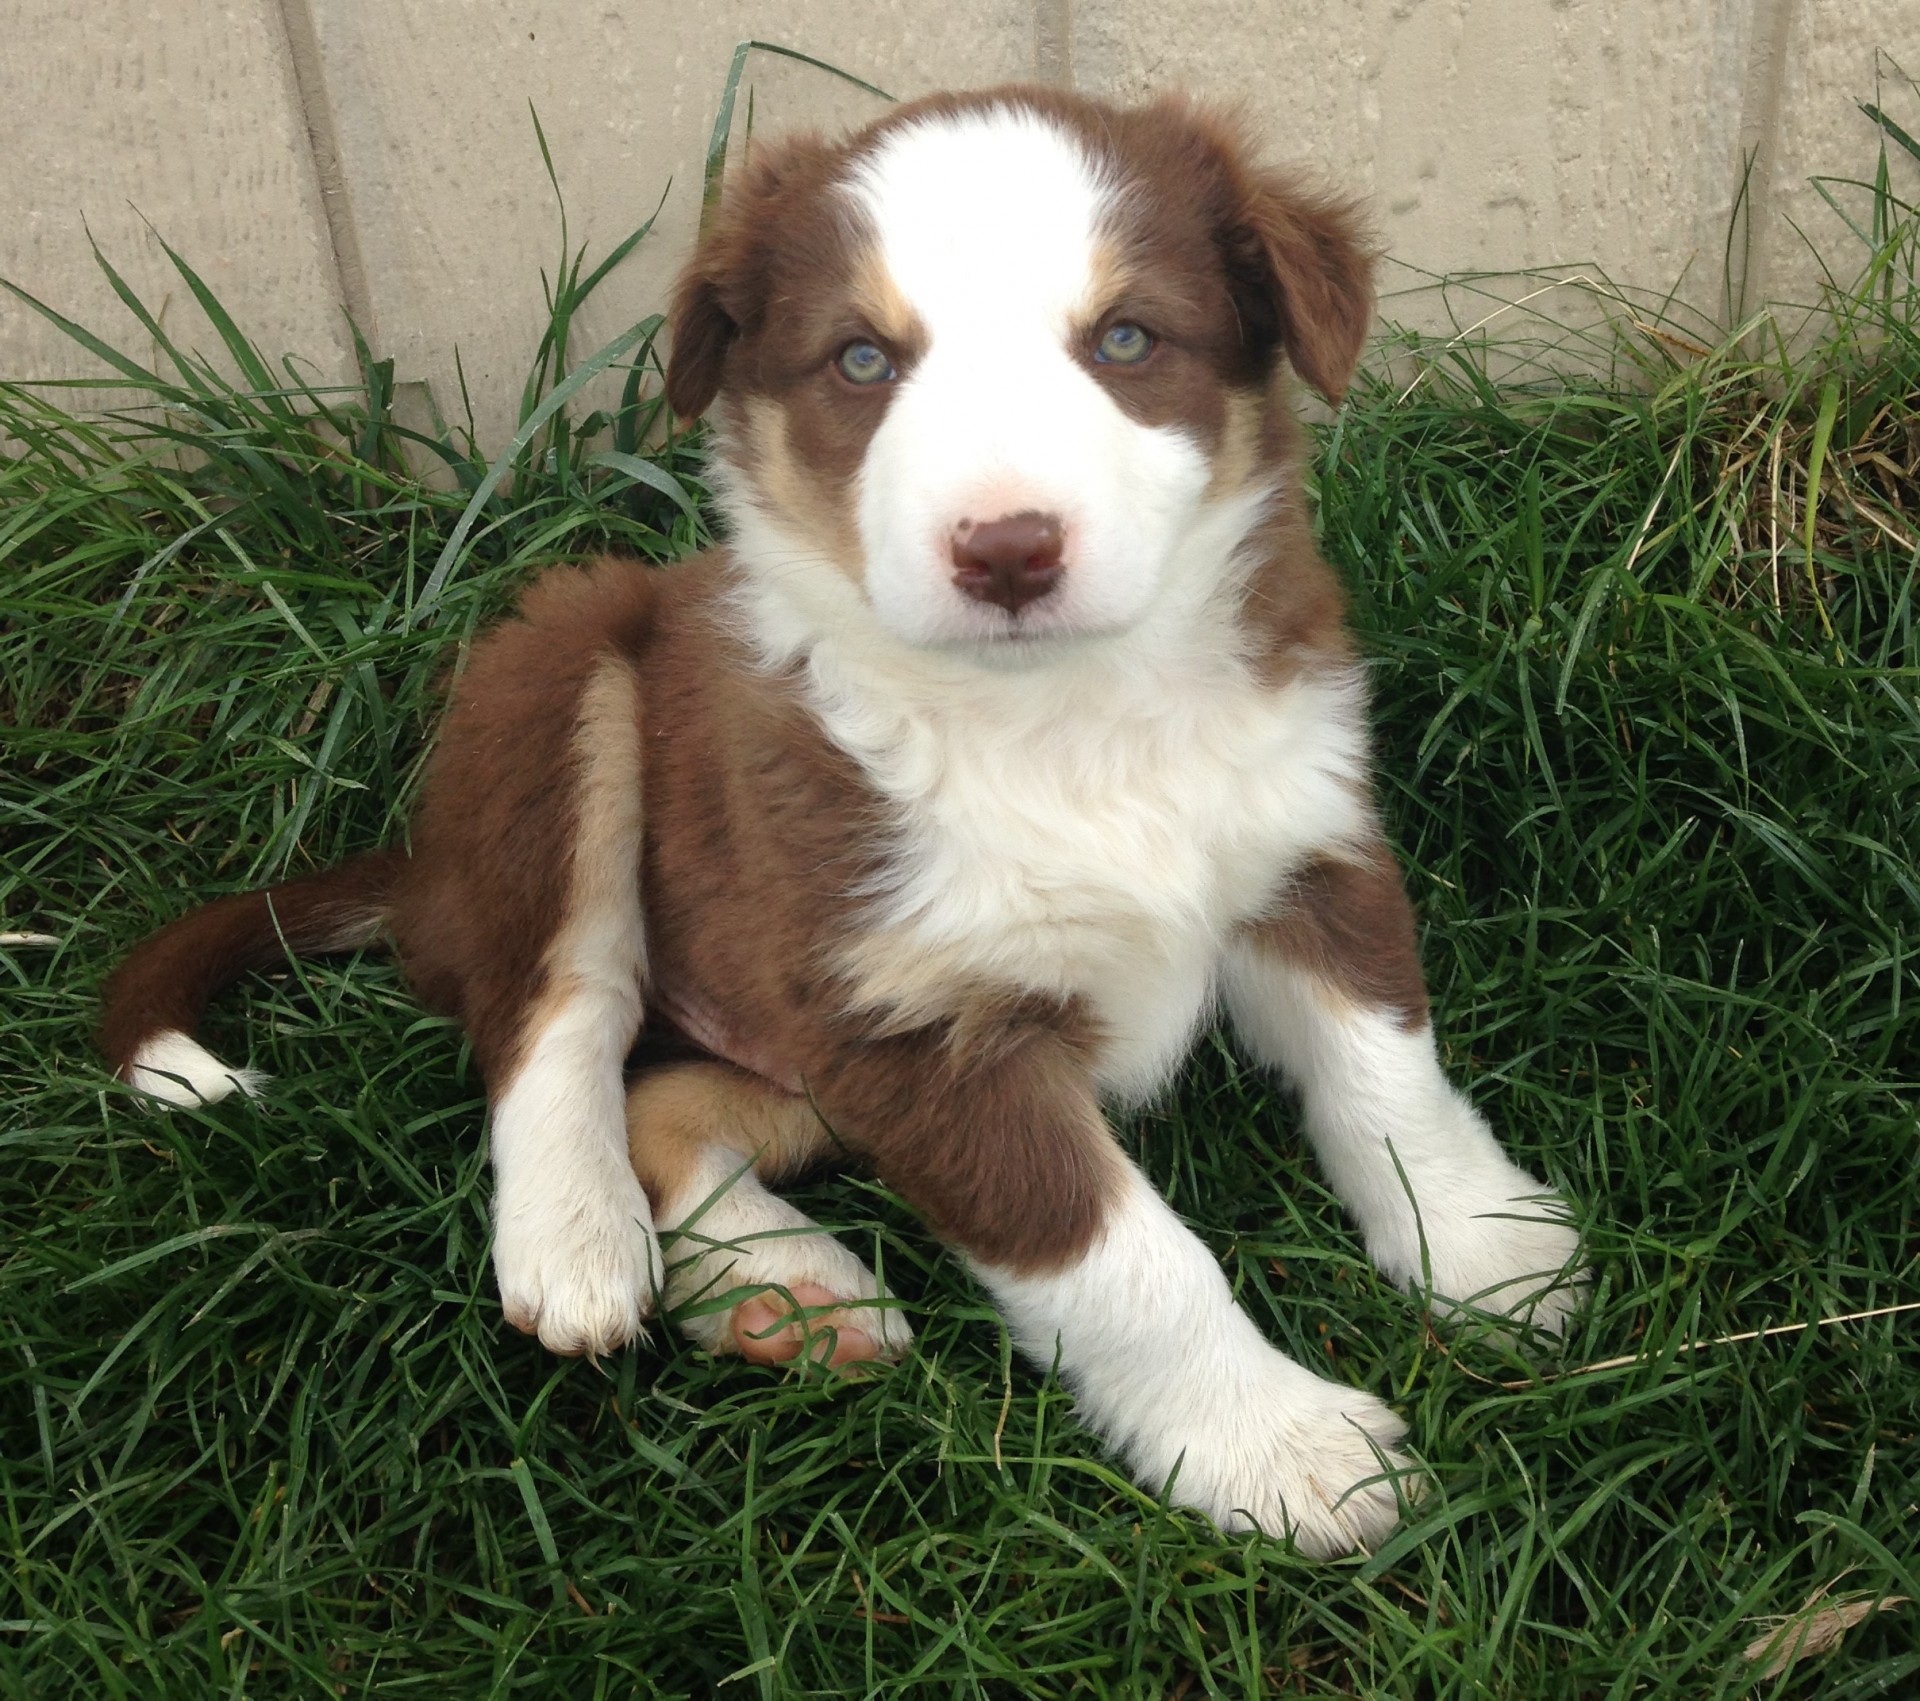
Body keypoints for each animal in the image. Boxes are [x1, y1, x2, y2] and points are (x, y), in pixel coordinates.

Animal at [97, 89, 1582, 1558]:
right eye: (864, 361)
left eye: (1126, 339)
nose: (1006, 551)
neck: (1066, 715)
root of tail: (427, 876)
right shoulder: (919, 1027)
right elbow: (1122, 1258)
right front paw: (1282, 1449)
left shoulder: (1306, 848)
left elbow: (1388, 1076)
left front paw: (1489, 1248)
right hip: (567, 660)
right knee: (559, 1010)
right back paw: (579, 1241)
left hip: (780, 1037)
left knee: (665, 1099)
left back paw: (783, 1289)